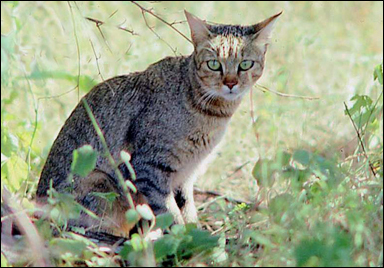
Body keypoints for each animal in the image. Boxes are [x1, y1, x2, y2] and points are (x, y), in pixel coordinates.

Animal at [36, 9, 282, 237]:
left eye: (245, 64)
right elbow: (169, 213)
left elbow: (187, 210)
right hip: (100, 179)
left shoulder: (186, 175)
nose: (230, 83)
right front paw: (183, 239)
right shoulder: (149, 167)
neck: (210, 113)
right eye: (214, 64)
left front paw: (195, 233)